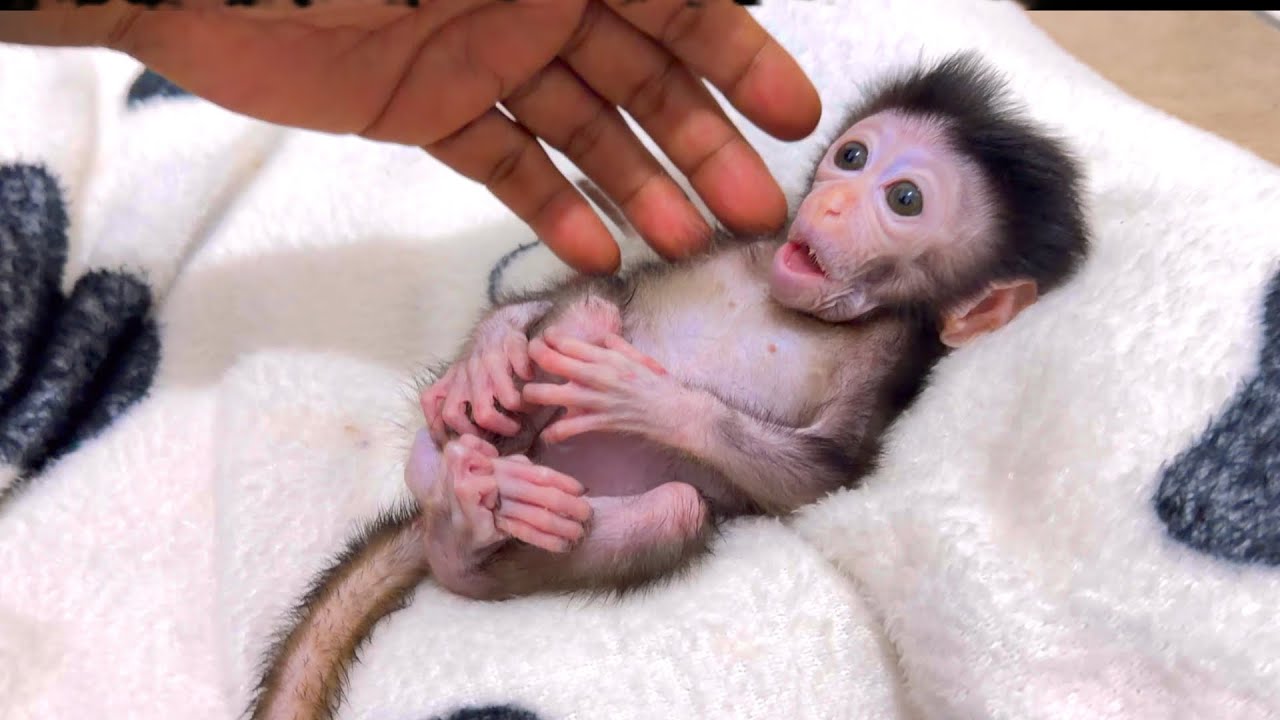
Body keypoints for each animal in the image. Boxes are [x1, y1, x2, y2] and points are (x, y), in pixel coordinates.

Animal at [246, 52, 1090, 720]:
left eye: (905, 199)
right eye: (853, 156)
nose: (834, 200)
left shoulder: (889, 370)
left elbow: (821, 475)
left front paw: (648, 399)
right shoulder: (745, 238)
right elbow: (611, 279)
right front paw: (496, 352)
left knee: (673, 511)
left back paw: (471, 532)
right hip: (444, 448)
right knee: (567, 330)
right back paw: (488, 425)